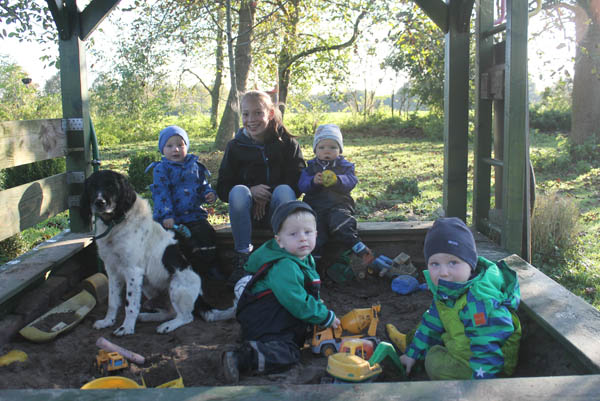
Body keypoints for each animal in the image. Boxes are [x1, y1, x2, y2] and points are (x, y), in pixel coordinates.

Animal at [80, 170, 235, 335]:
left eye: (111, 186)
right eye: (92, 187)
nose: (99, 202)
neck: (115, 224)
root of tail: (199, 295)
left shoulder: (133, 271)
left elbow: (130, 304)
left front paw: (126, 328)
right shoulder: (112, 270)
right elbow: (113, 301)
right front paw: (107, 321)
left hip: (176, 285)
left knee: (186, 317)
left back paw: (168, 325)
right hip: (149, 286)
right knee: (169, 312)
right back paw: (148, 317)